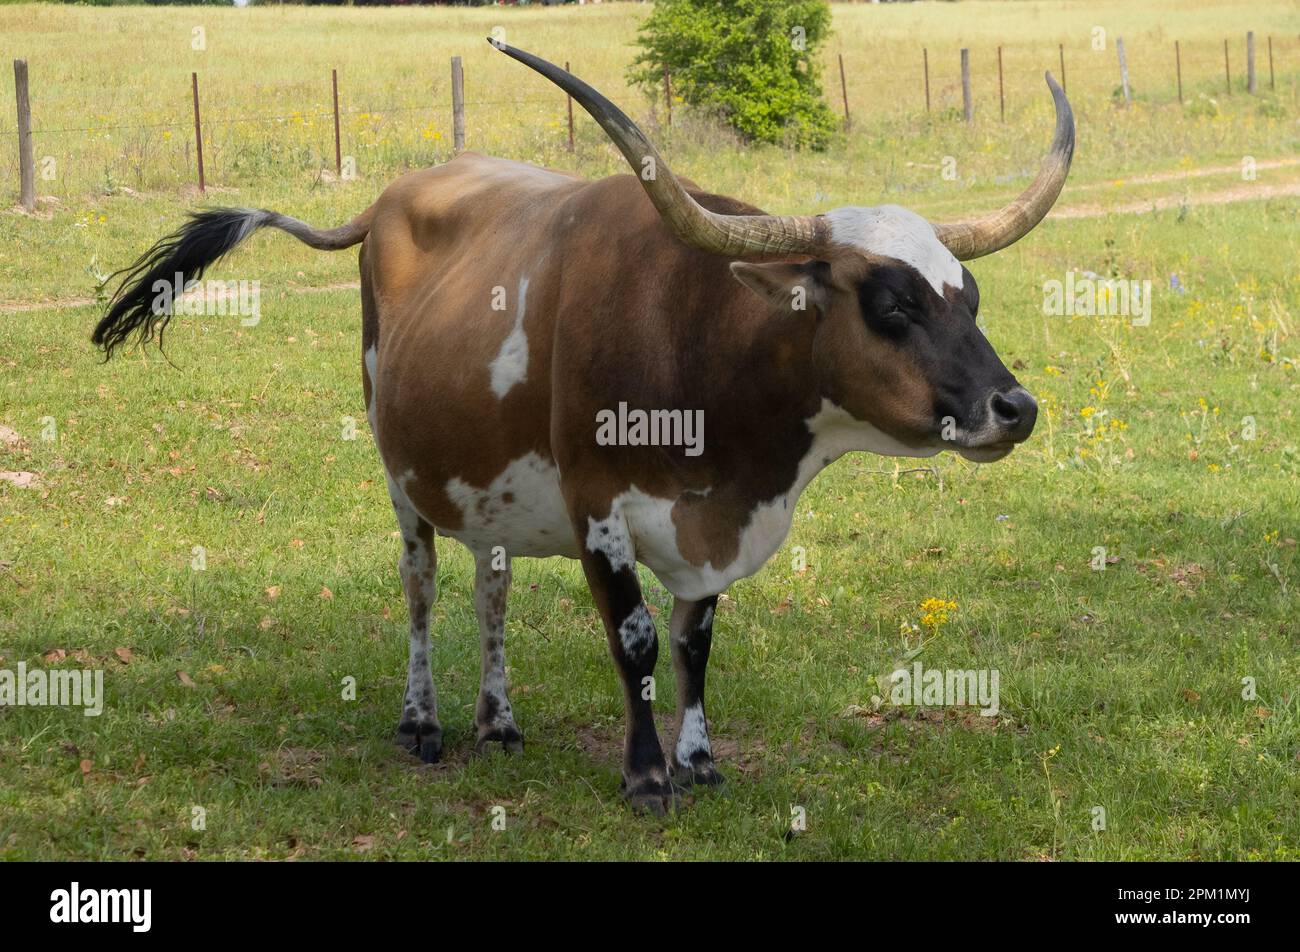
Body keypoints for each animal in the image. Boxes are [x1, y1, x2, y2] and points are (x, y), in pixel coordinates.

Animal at [92, 41, 1074, 815]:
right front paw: (647, 777)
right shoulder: (598, 501)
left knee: (490, 590)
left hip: (484, 481)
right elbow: (634, 636)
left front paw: (699, 760)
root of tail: (396, 195)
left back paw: (497, 721)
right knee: (419, 584)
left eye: (969, 297)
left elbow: (694, 641)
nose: (1015, 408)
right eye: (892, 304)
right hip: (400, 470)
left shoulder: (702, 526)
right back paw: (423, 722)